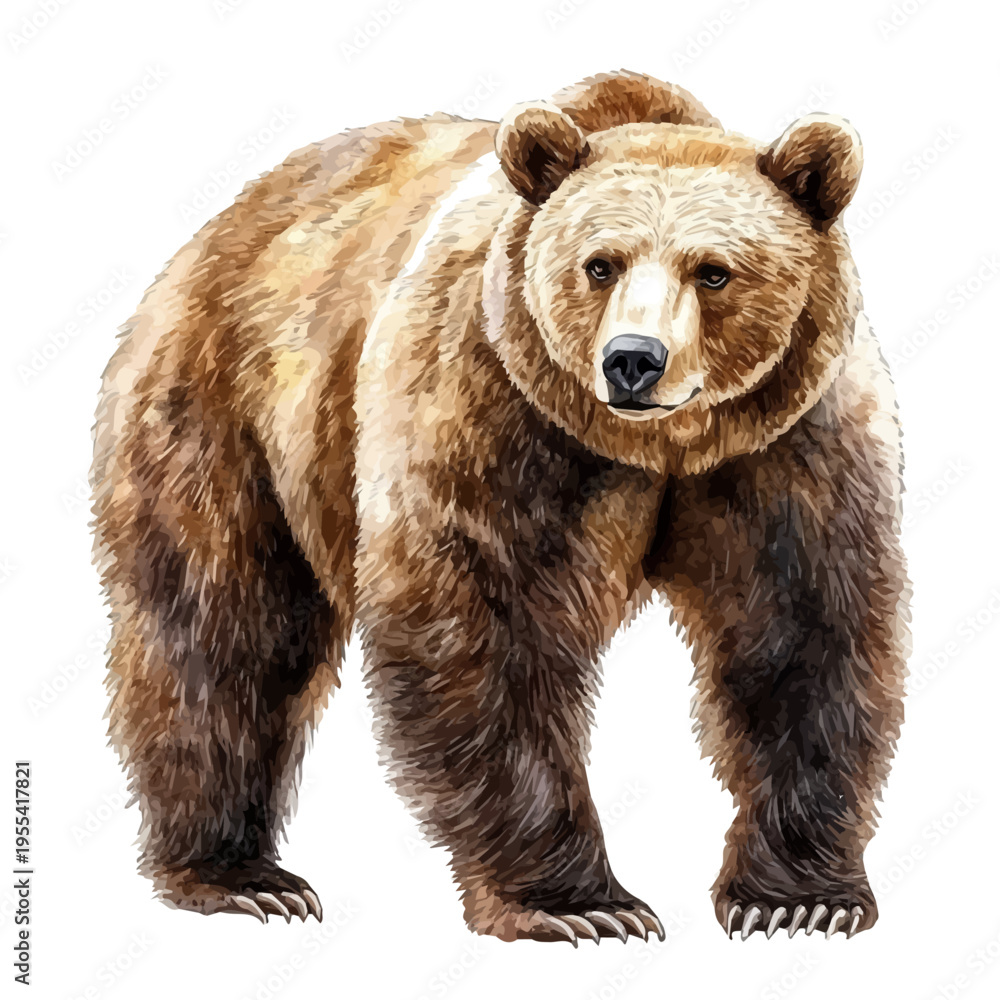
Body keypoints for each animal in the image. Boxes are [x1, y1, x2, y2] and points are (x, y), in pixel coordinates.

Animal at [91, 69, 909, 944]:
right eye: (600, 264)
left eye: (714, 271)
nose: (633, 361)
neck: (658, 448)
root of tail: (225, 224)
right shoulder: (491, 409)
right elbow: (485, 628)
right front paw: (579, 903)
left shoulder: (790, 444)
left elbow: (803, 631)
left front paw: (799, 897)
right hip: (222, 410)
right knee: (223, 627)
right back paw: (237, 875)